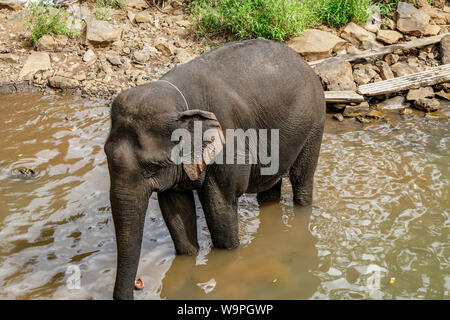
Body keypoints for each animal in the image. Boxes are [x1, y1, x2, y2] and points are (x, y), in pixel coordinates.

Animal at [103, 38, 326, 298]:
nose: (139, 285)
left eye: (151, 166)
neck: (180, 103)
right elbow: (176, 209)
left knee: (302, 178)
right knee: (270, 183)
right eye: (106, 154)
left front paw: (227, 256)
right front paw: (188, 258)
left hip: (315, 120)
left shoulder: (229, 142)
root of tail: (303, 61)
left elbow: (218, 204)